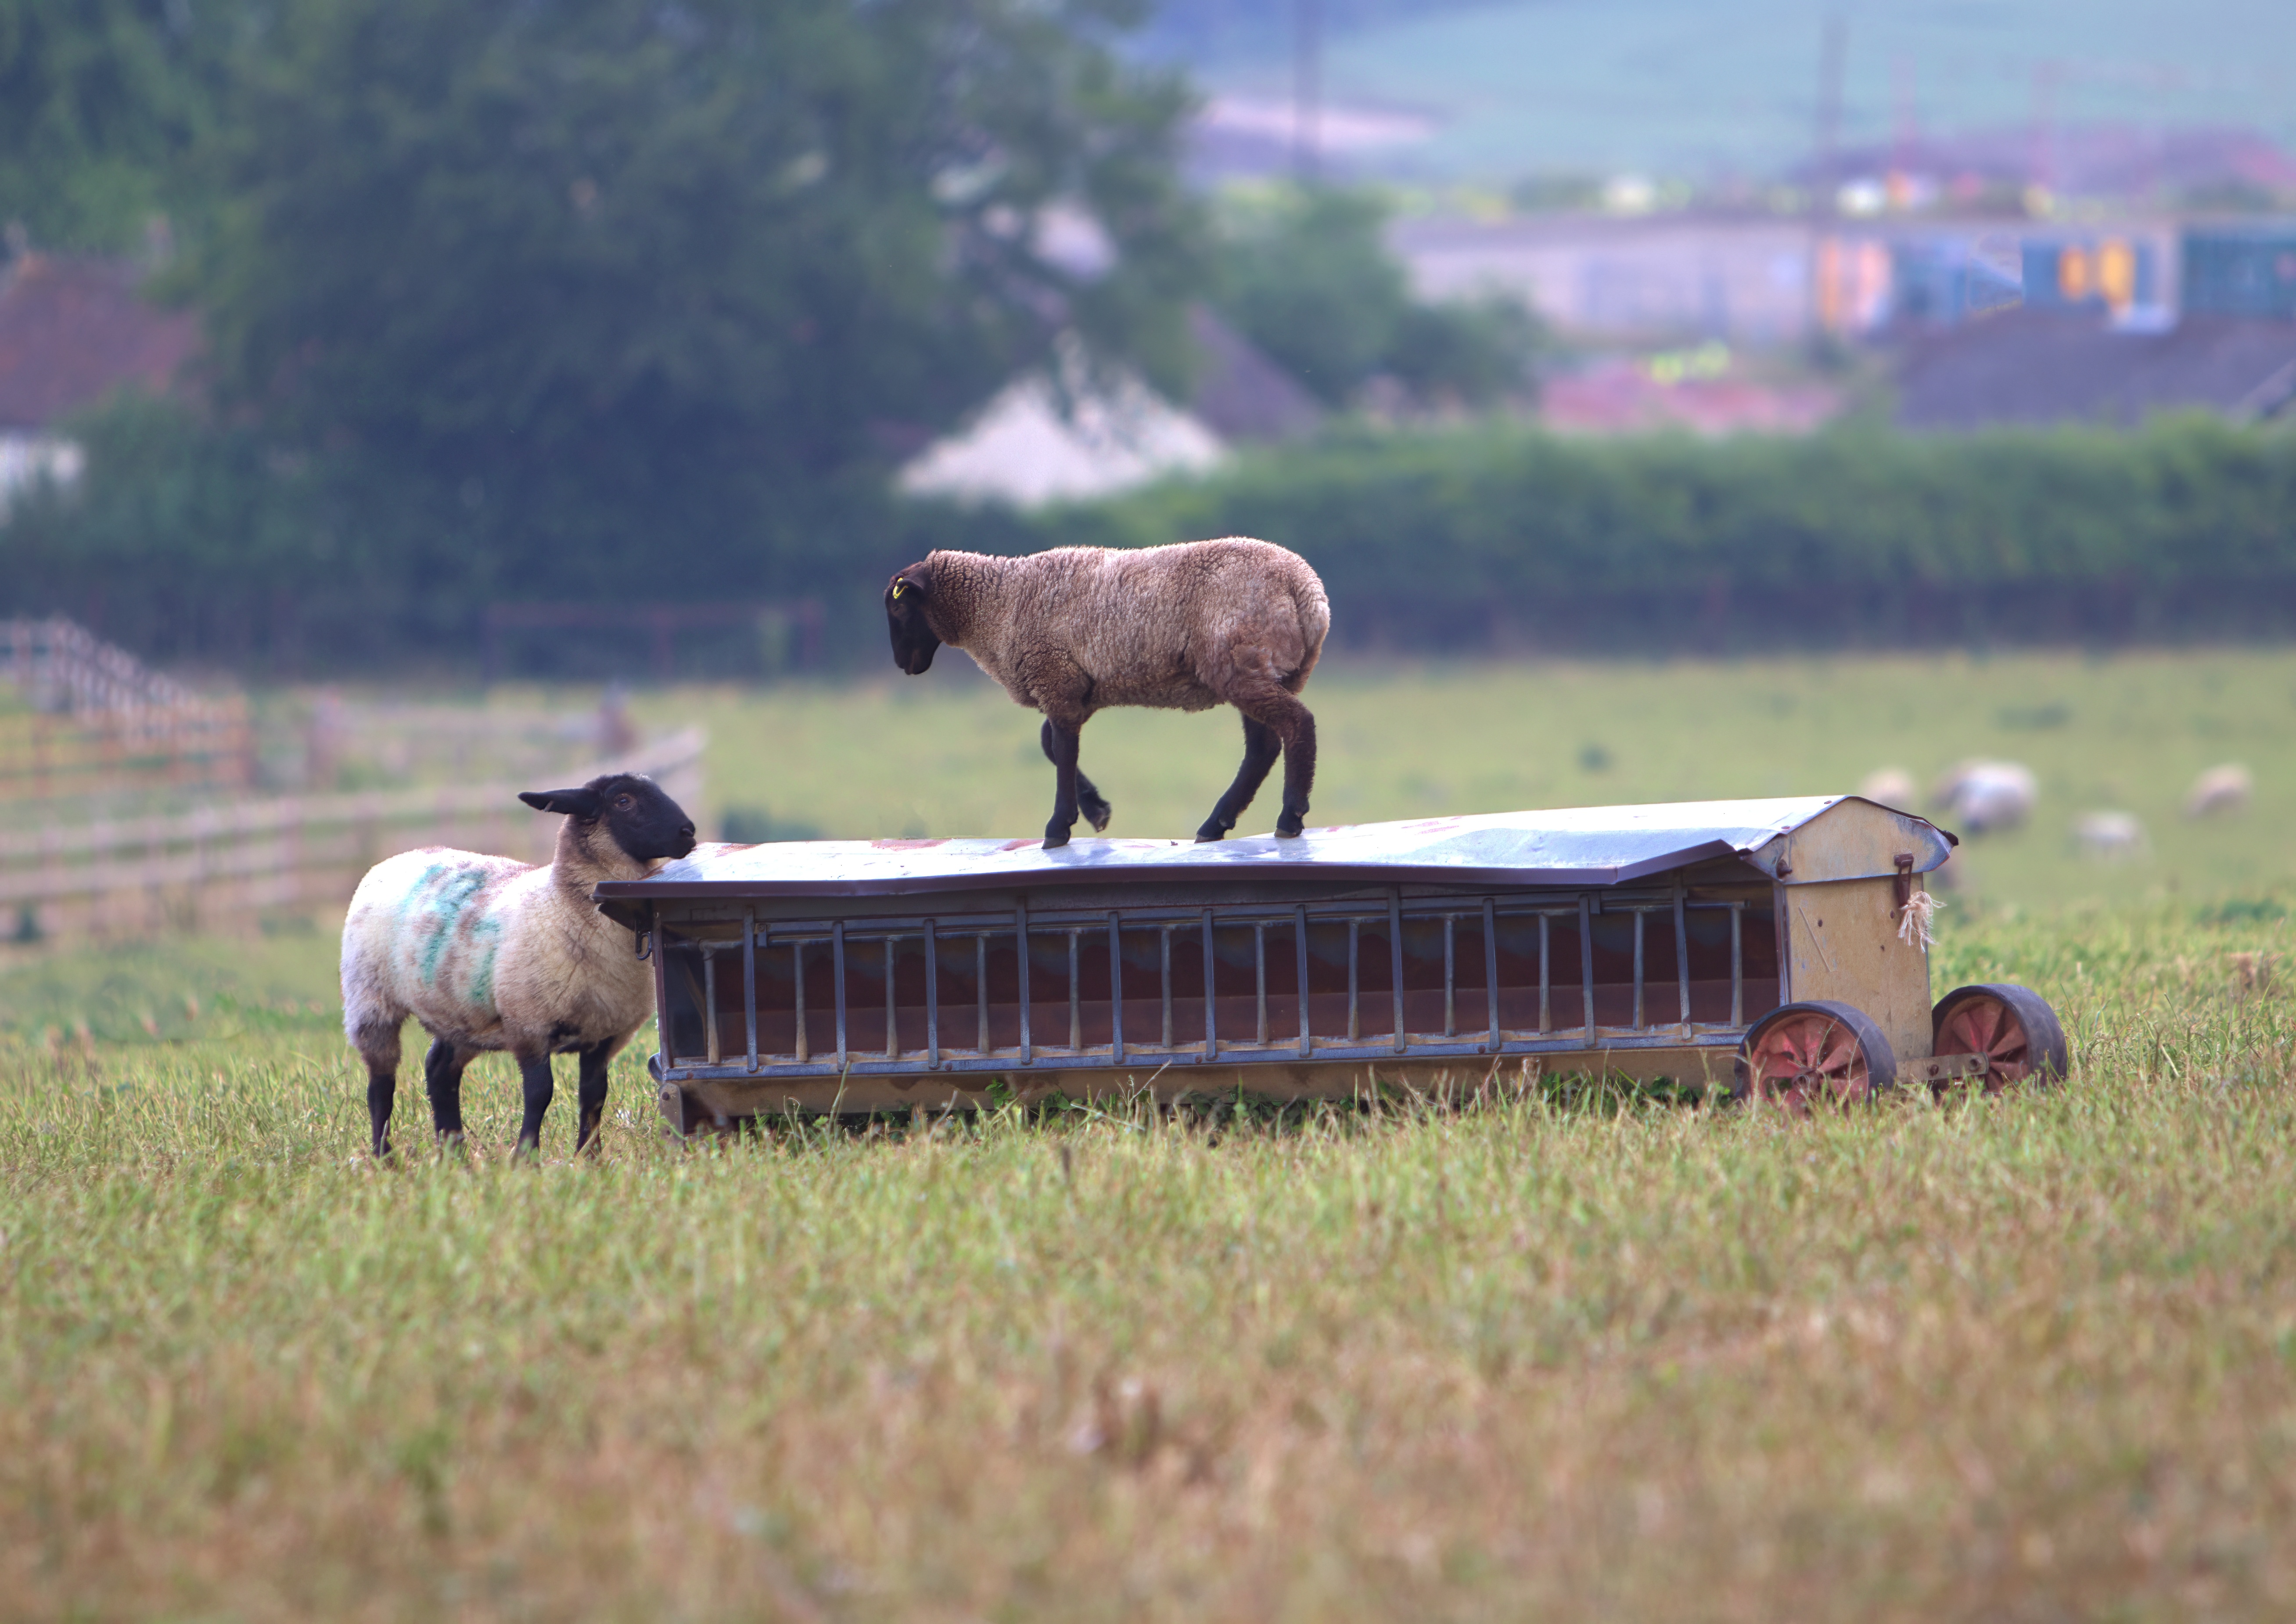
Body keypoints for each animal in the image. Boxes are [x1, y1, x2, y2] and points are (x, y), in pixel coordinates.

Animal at [340, 771, 697, 1158]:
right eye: (623, 801)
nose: (688, 832)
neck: (561, 905)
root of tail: (396, 858)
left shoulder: (603, 1034)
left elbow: (594, 1097)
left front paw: (590, 1157)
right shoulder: (530, 1025)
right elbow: (540, 1094)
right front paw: (526, 1157)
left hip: (465, 1015)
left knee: (439, 1071)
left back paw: (455, 1154)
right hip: (371, 1000)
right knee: (380, 1085)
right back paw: (384, 1156)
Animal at [883, 538, 1331, 848]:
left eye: (898, 608)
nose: (903, 665)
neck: (997, 606)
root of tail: (1308, 593)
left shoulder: (1055, 677)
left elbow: (1062, 751)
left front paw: (1058, 828)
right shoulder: (1076, 687)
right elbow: (1049, 744)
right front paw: (1096, 810)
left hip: (1241, 664)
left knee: (1297, 725)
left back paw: (1289, 817)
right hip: (1266, 670)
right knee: (1263, 747)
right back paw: (1215, 825)